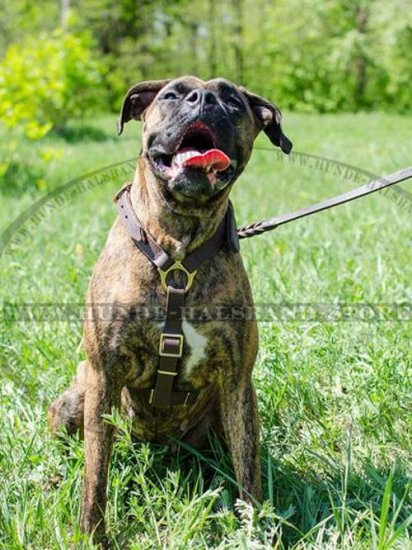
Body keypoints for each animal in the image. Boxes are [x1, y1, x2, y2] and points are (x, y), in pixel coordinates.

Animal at [48, 75, 292, 544]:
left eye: (233, 100)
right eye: (173, 94)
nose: (204, 98)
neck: (178, 249)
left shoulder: (237, 382)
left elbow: (249, 471)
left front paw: (254, 532)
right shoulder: (104, 376)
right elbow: (95, 475)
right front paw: (93, 536)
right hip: (76, 399)